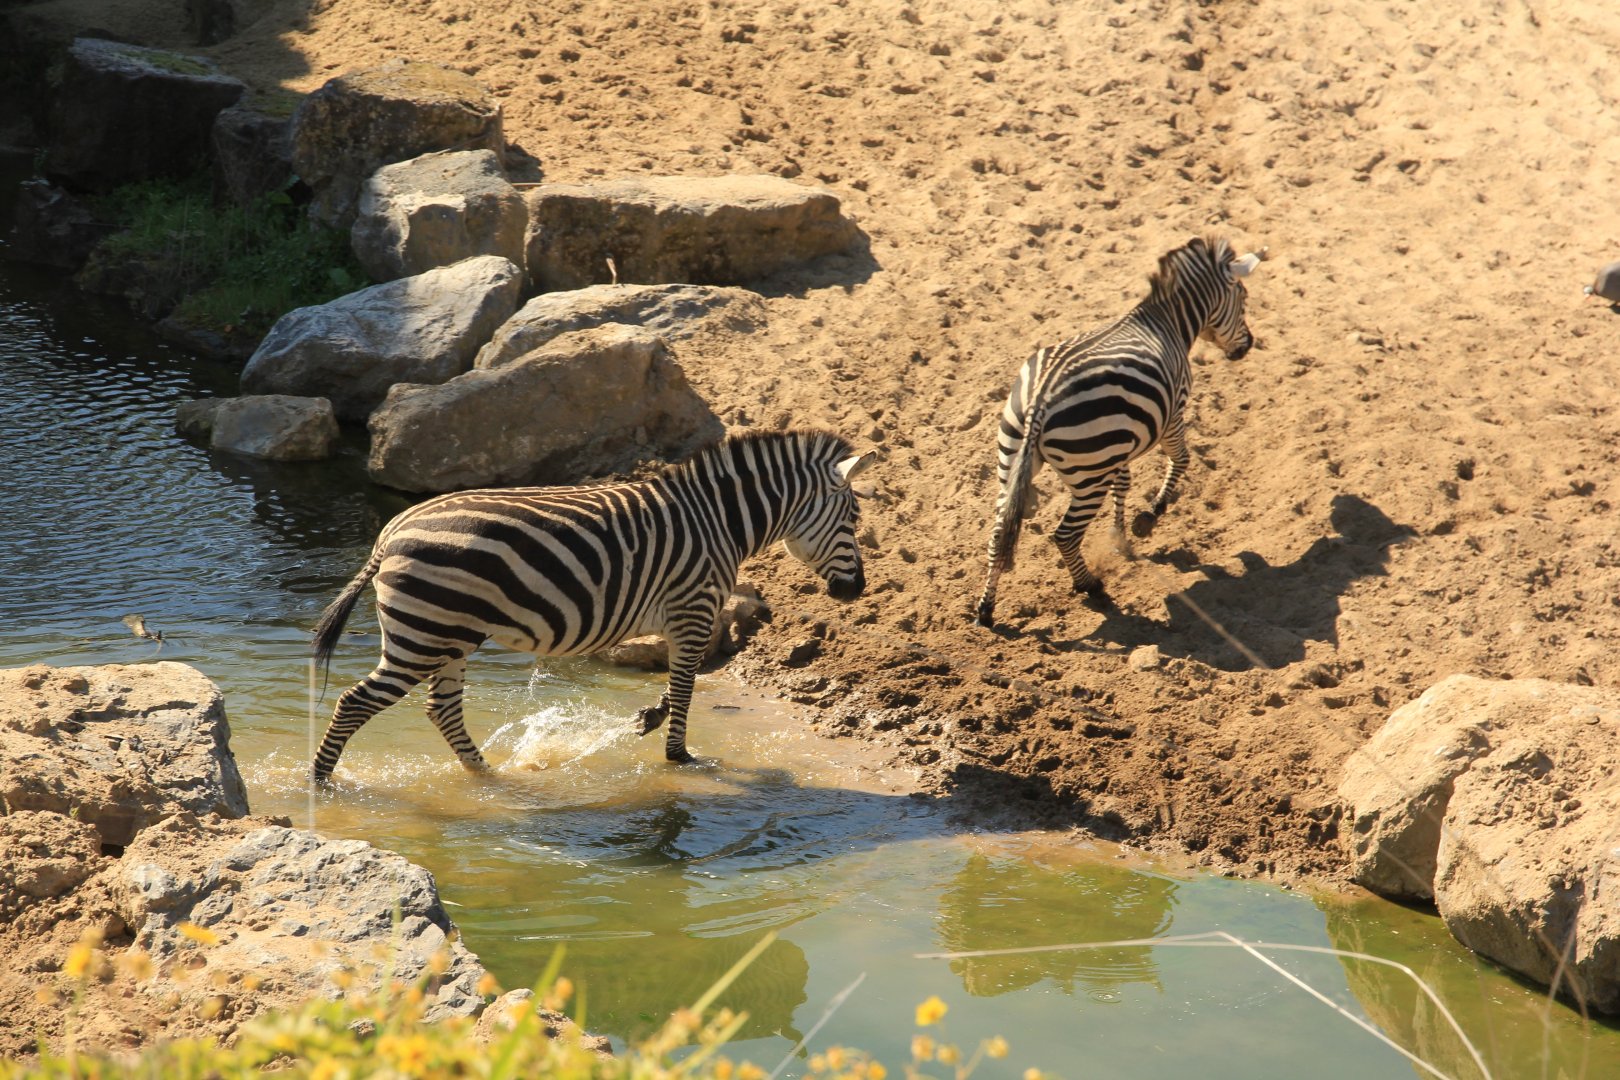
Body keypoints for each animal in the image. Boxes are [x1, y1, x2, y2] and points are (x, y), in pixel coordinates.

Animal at [310, 429, 875, 782]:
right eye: (852, 517)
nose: (856, 591)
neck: (718, 522)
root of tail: (392, 530)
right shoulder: (693, 607)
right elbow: (687, 685)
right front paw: (679, 757)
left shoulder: (683, 617)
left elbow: (682, 678)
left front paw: (649, 717)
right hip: (426, 633)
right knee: (354, 702)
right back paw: (320, 785)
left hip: (450, 634)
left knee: (441, 708)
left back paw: (490, 776)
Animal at [975, 235, 1263, 627]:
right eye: (1244, 298)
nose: (1247, 346)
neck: (1167, 322)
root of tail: (1040, 400)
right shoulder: (1173, 413)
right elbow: (1182, 459)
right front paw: (1147, 518)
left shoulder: (1123, 439)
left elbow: (1124, 483)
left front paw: (1120, 537)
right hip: (1088, 475)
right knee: (1065, 536)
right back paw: (1092, 587)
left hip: (1013, 456)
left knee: (997, 534)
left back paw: (985, 610)